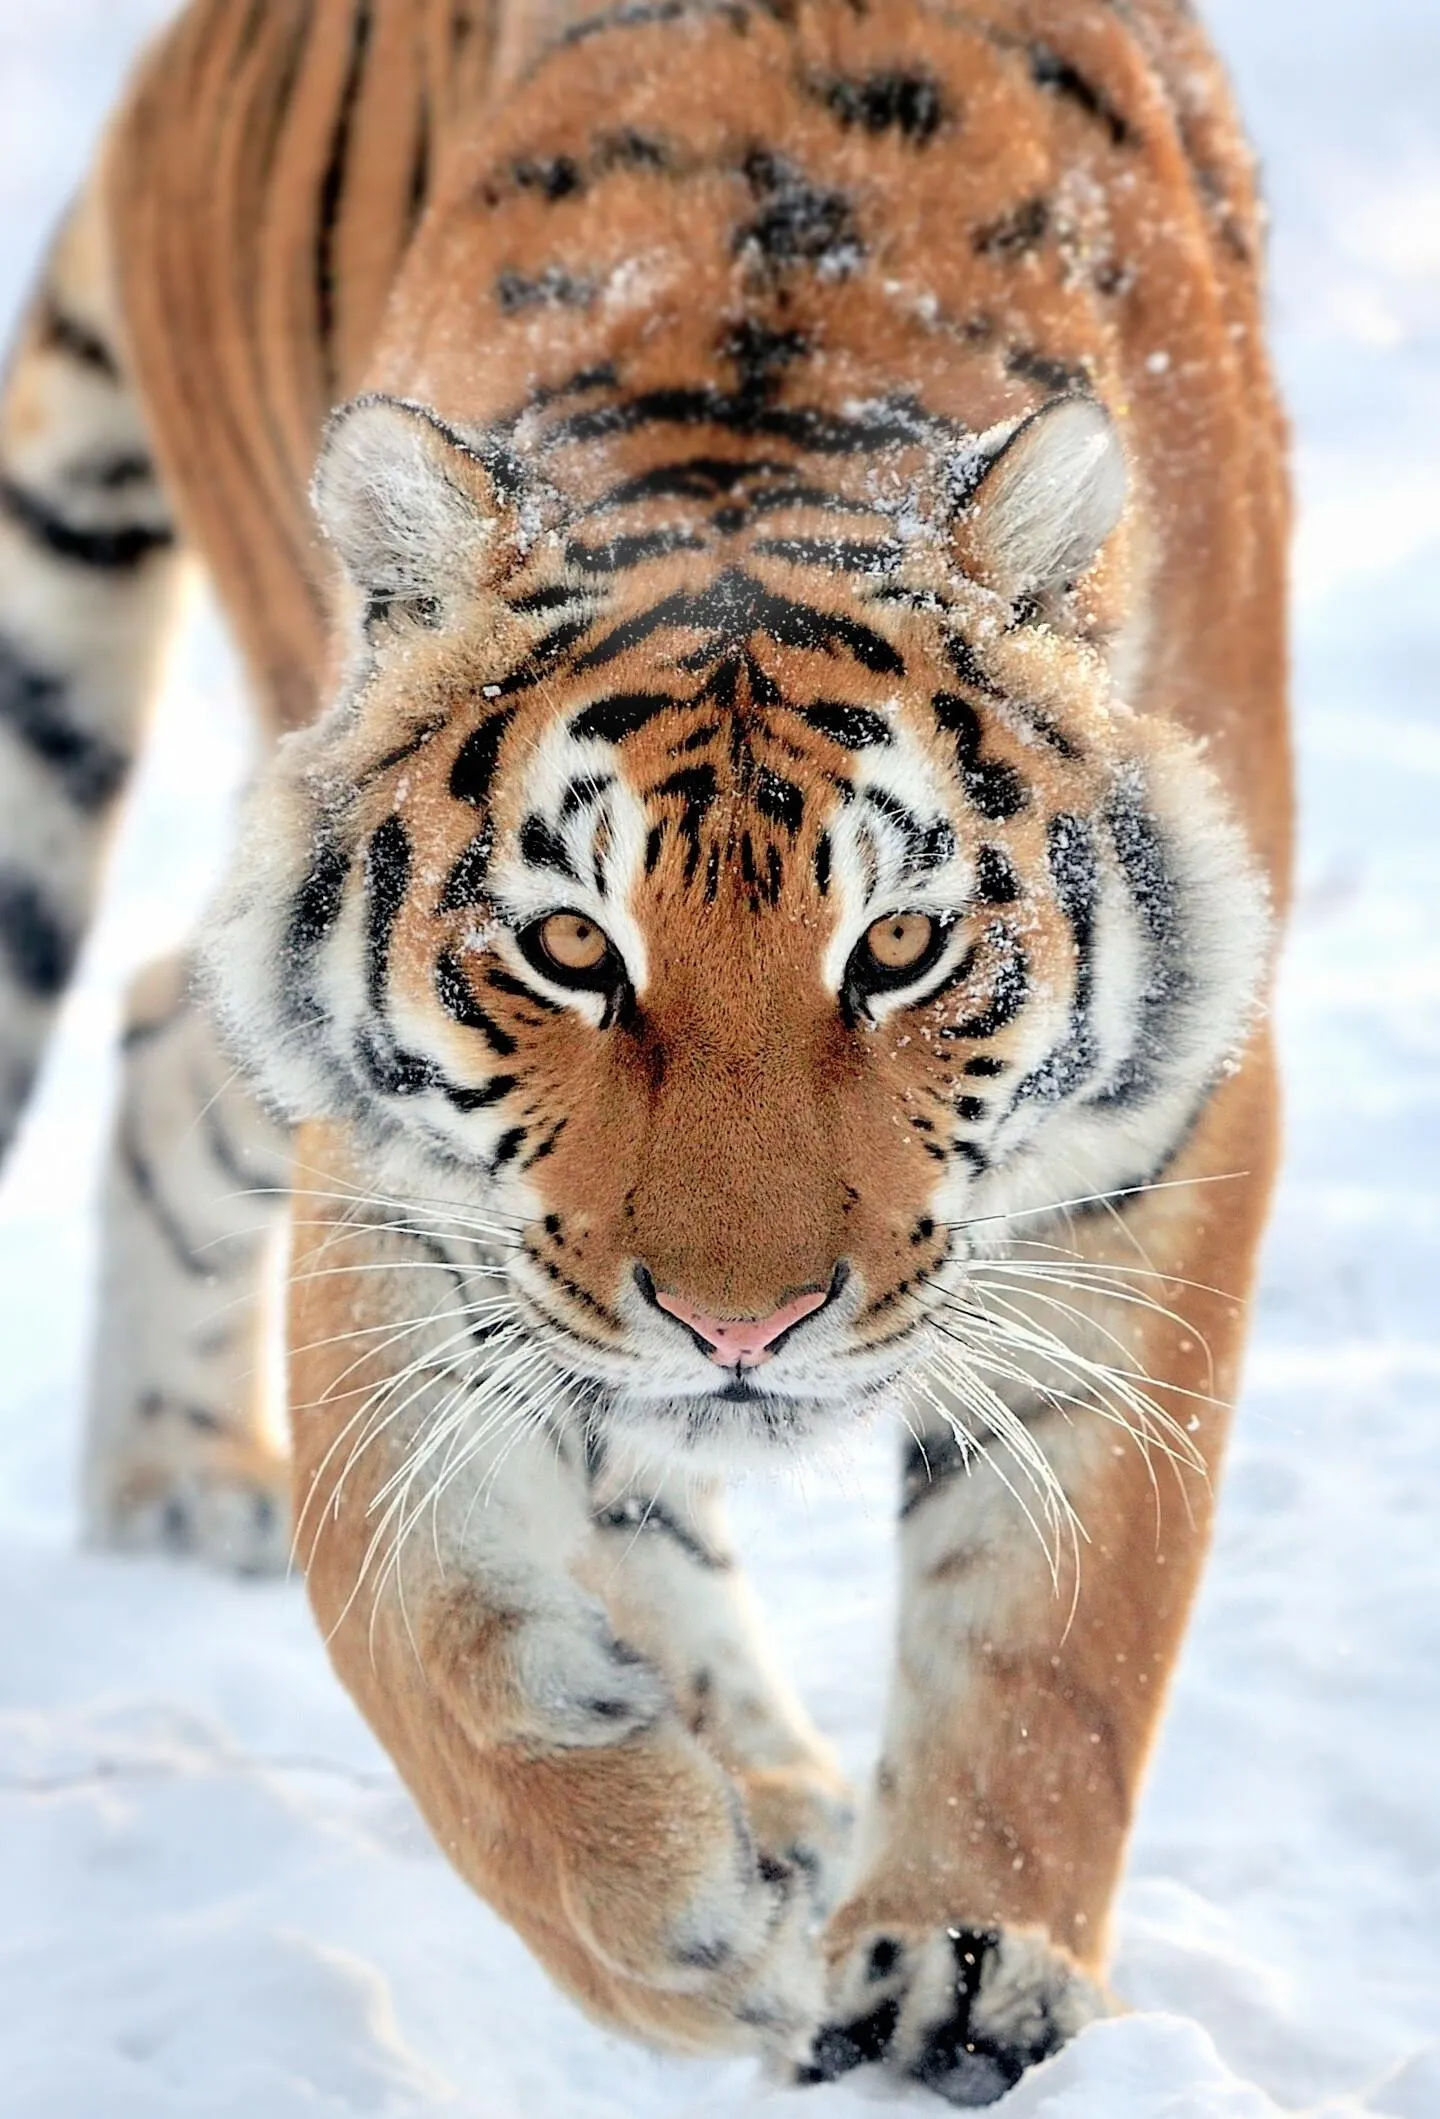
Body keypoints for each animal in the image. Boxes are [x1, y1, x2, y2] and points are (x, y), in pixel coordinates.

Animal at [0, 0, 1290, 2100]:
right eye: (570, 946)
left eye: (902, 943)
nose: (741, 1324)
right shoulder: (409, 1196)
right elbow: (433, 1634)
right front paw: (687, 1923)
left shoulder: (1164, 1142)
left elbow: (1054, 1616)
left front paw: (960, 1955)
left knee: (158, 1027)